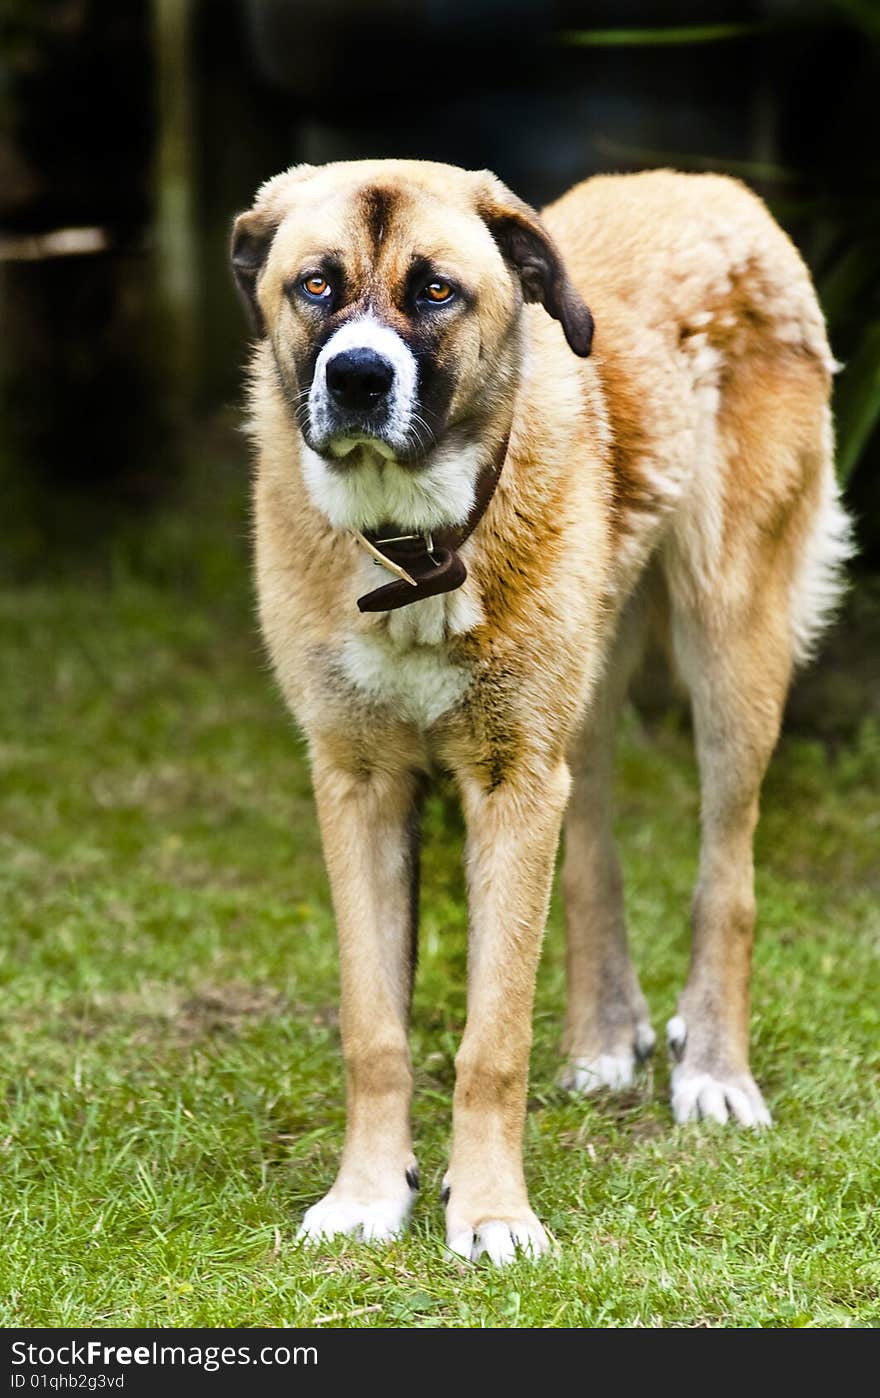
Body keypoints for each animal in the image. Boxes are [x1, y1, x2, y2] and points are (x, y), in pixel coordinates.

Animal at [229, 158, 845, 1263]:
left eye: (437, 291)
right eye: (315, 285)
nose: (357, 378)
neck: (414, 552)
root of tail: (707, 184)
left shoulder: (511, 779)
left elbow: (494, 1037)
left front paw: (489, 1213)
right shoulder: (360, 783)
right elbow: (374, 1025)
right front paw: (366, 1196)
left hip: (732, 648)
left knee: (725, 879)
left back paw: (714, 1072)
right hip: (581, 703)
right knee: (594, 857)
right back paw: (602, 1040)